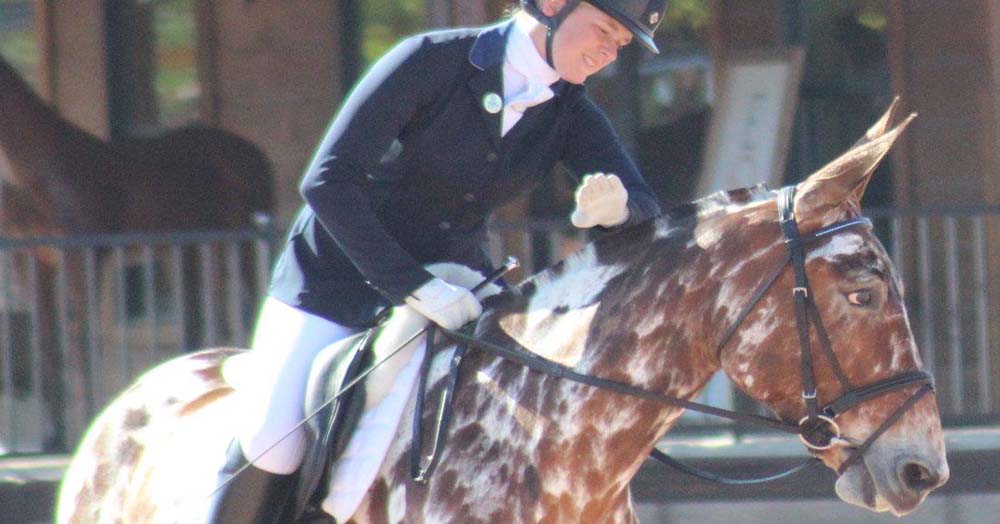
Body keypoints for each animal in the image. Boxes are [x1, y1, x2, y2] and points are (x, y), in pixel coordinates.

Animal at [0, 53, 274, 448]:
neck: (39, 174)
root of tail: (256, 154)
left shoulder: (84, 260)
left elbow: (80, 344)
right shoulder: (33, 265)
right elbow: (48, 348)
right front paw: (55, 436)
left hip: (240, 245)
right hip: (197, 251)